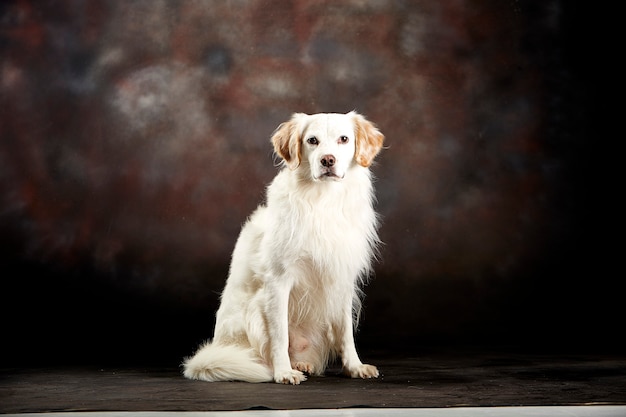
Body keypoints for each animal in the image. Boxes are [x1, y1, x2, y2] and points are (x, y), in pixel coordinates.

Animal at [183, 109, 382, 384]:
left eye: (344, 139)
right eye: (312, 141)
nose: (327, 160)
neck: (323, 200)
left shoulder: (342, 278)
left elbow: (345, 333)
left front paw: (354, 367)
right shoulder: (278, 280)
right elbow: (279, 334)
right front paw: (283, 372)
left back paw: (302, 363)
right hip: (255, 307)